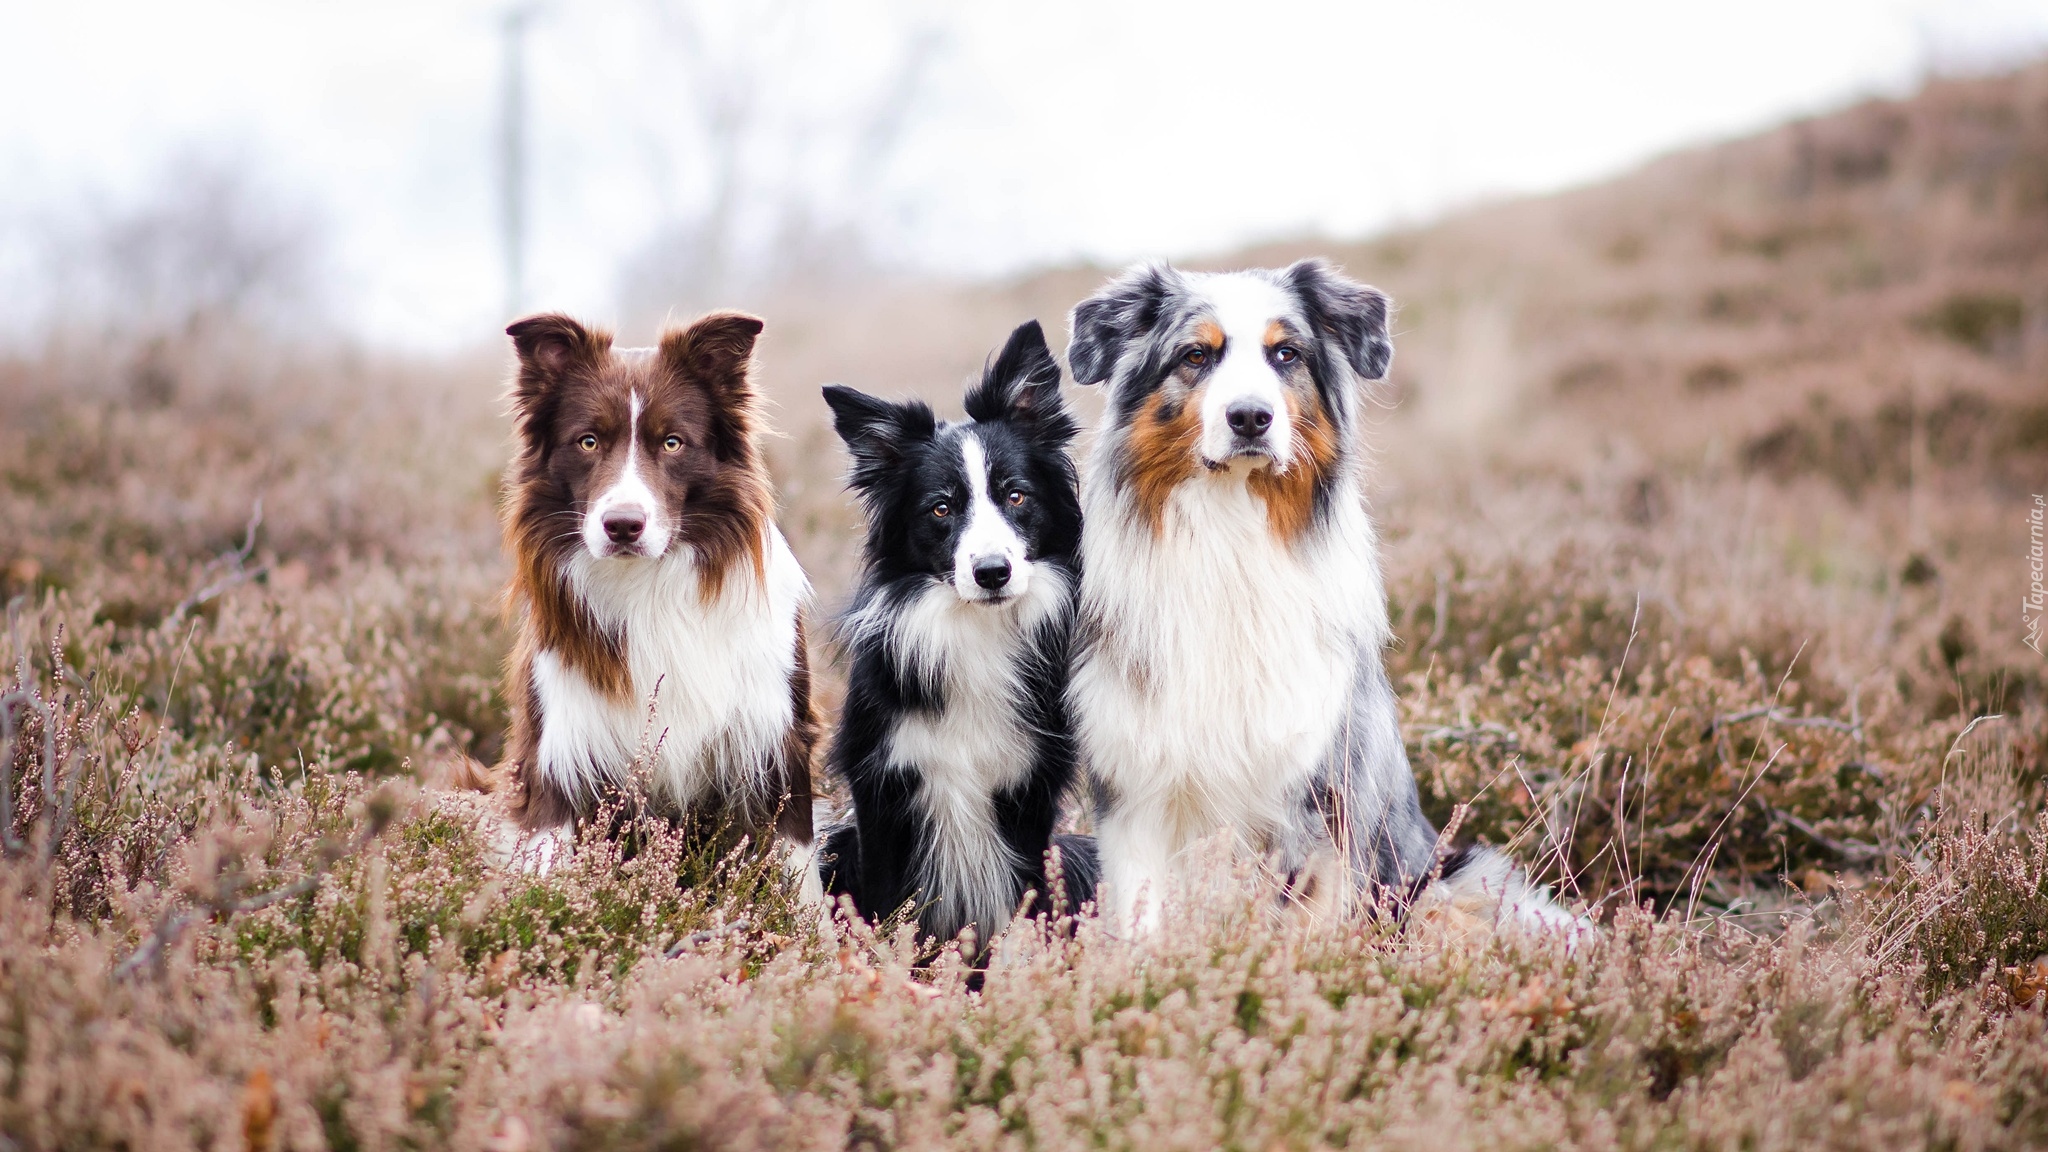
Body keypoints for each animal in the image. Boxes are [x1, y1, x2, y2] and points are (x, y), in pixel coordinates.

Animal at [493, 309, 815, 848]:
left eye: (672, 442)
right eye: (588, 441)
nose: (623, 526)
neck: (648, 585)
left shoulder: (774, 740)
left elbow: (795, 858)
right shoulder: (560, 747)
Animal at [815, 317, 1105, 947]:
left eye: (1016, 495)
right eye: (941, 509)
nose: (992, 572)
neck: (978, 630)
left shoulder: (1027, 794)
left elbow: (1024, 903)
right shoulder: (884, 790)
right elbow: (887, 903)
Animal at [1064, 260, 1572, 934]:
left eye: (1286, 353)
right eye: (1196, 355)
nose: (1250, 417)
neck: (1232, 537)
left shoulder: (1316, 792)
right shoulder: (1136, 789)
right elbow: (1143, 920)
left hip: (1451, 887)